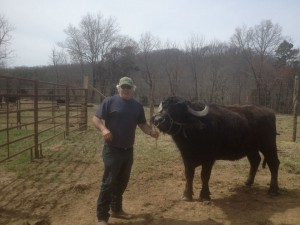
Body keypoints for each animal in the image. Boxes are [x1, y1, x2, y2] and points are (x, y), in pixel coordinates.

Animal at [151, 96, 280, 201]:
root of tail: (269, 112)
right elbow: (189, 175)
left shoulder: (209, 159)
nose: (158, 120)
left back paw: (273, 190)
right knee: (255, 161)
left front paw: (204, 195)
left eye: (177, 109)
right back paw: (248, 182)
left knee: (274, 163)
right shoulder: (186, 157)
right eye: (163, 106)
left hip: (268, 145)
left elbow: (204, 175)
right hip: (251, 148)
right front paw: (187, 194)